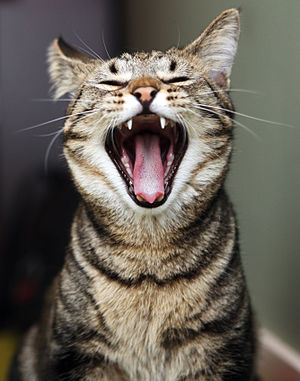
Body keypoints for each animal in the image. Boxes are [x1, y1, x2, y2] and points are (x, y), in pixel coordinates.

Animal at [9, 8, 258, 380]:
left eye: (177, 79)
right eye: (110, 83)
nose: (144, 91)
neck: (148, 259)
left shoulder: (222, 351)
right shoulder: (81, 353)